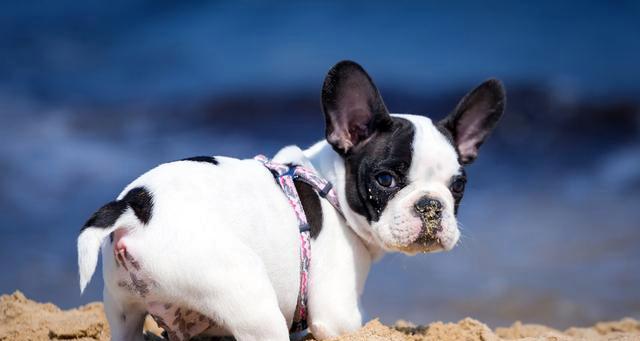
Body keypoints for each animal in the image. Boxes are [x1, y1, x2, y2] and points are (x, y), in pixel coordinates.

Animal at [76, 59, 504, 338]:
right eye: (385, 180)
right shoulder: (337, 313)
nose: (431, 205)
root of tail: (135, 207)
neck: (328, 185)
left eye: (458, 186)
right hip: (250, 301)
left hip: (123, 311)